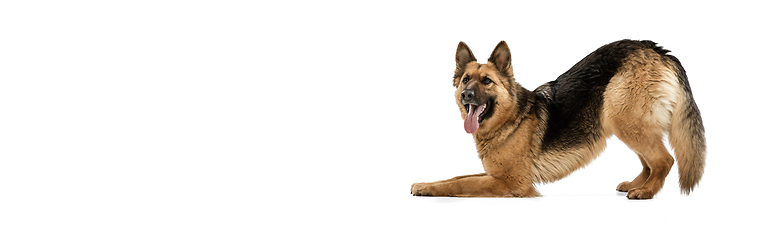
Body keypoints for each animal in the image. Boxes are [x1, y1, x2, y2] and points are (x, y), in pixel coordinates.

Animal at [414, 40, 708, 200]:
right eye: (465, 80)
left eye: (486, 81)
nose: (466, 95)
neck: (511, 120)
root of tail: (657, 50)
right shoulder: (495, 174)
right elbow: (455, 177)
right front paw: (425, 184)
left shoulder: (510, 182)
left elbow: (460, 183)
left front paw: (427, 189)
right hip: (622, 119)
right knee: (650, 161)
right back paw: (638, 184)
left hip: (623, 118)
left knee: (664, 160)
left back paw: (646, 192)